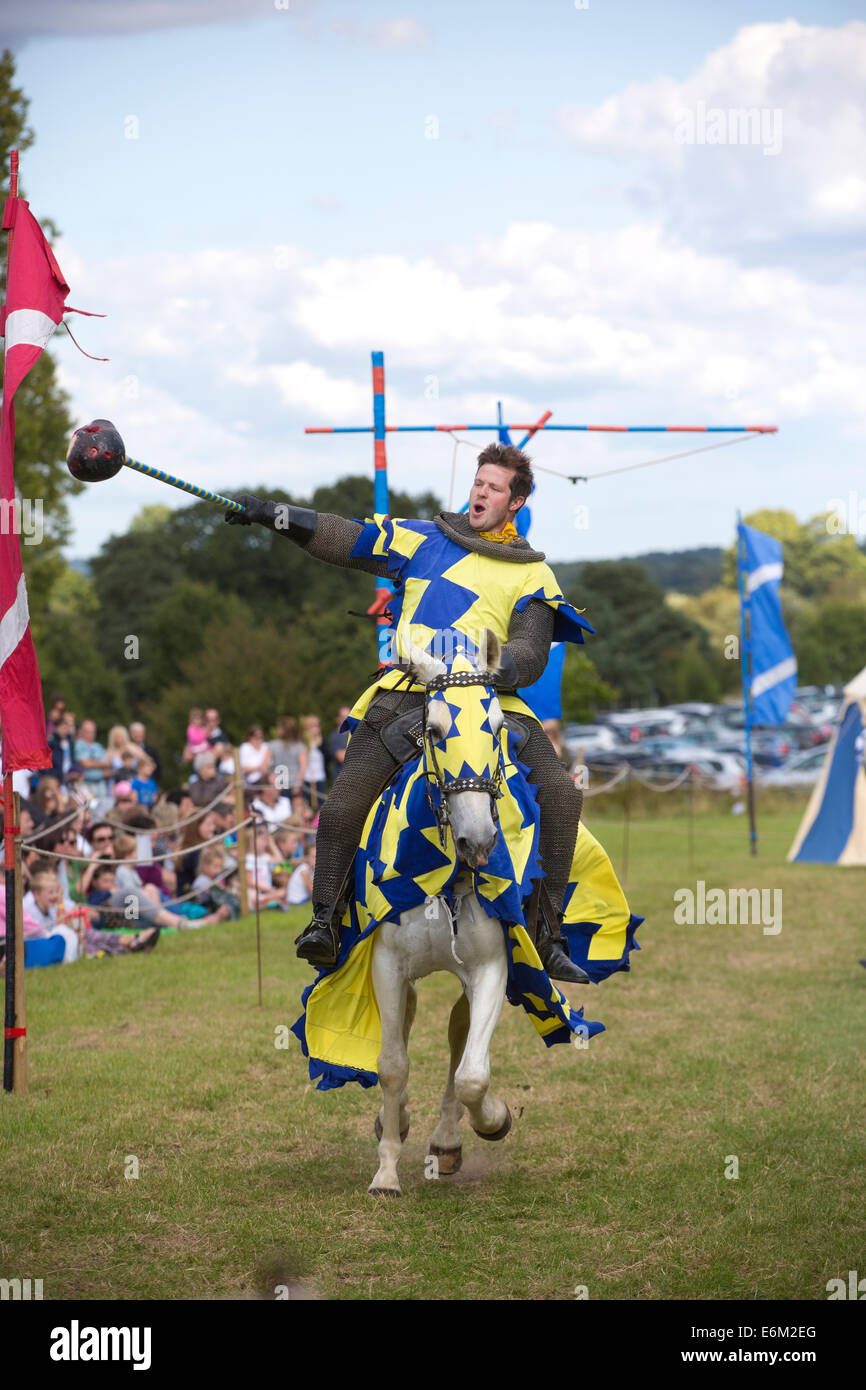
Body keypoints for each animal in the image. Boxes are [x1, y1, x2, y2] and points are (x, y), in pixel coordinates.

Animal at [366, 633, 514, 1195]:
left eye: (498, 726)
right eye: (433, 729)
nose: (479, 842)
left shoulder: (490, 969)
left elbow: (473, 1072)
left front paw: (492, 1119)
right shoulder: (386, 964)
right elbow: (392, 1065)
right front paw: (386, 1171)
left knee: (458, 1038)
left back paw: (447, 1141)